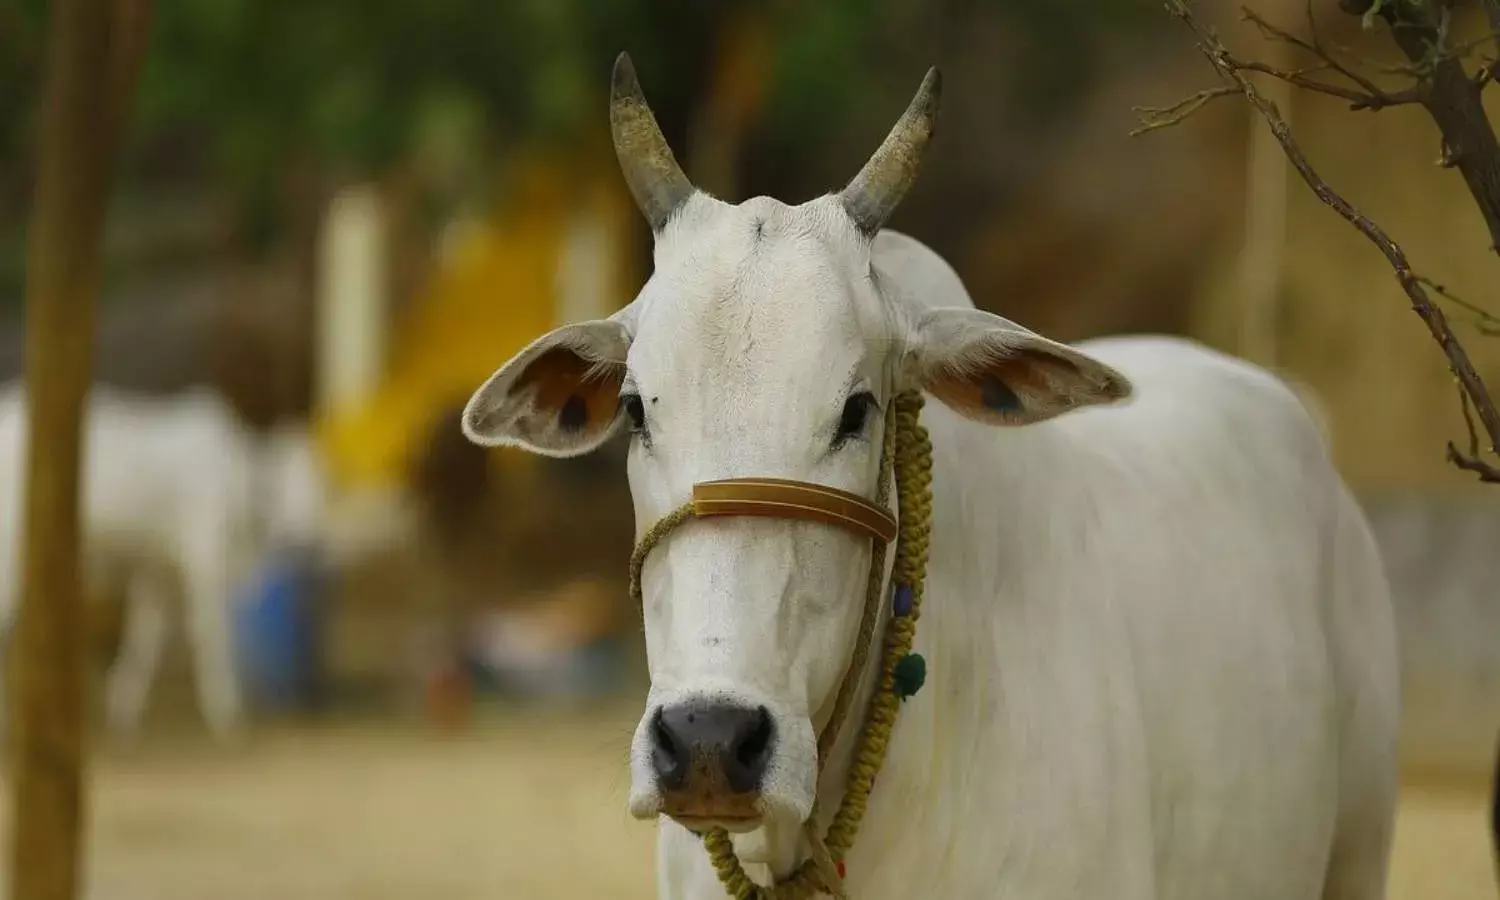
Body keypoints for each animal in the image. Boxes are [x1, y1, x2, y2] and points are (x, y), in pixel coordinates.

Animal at [0, 382, 330, 743]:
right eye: (286, 487)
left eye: (324, 483)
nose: (311, 539)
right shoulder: (205, 560)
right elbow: (212, 635)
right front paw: (227, 716)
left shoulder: (159, 569)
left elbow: (146, 638)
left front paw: (123, 709)